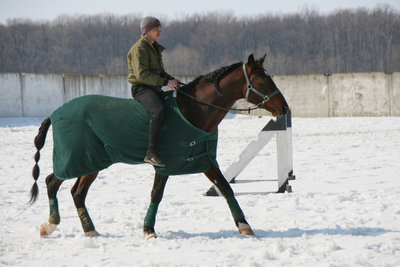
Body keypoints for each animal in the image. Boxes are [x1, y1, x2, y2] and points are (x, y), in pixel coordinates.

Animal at [29, 53, 290, 240]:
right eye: (262, 80)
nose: (285, 108)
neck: (192, 110)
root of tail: (55, 113)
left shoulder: (203, 160)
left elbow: (226, 188)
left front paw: (245, 226)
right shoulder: (165, 165)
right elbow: (156, 193)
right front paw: (148, 230)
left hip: (92, 162)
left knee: (77, 192)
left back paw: (89, 230)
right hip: (77, 159)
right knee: (52, 182)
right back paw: (50, 225)